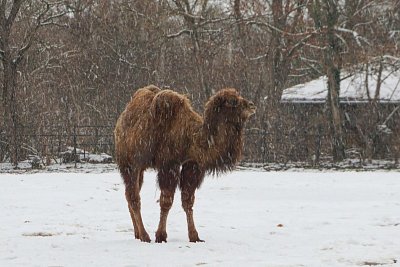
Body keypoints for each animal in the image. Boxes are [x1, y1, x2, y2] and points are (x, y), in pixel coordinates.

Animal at [112, 85, 256, 244]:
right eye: (232, 101)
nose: (251, 106)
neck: (191, 139)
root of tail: (120, 122)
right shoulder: (169, 164)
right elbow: (166, 201)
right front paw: (161, 236)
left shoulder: (191, 165)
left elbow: (188, 201)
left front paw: (194, 236)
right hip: (129, 163)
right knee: (134, 197)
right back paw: (144, 236)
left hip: (140, 168)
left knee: (130, 194)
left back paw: (137, 234)